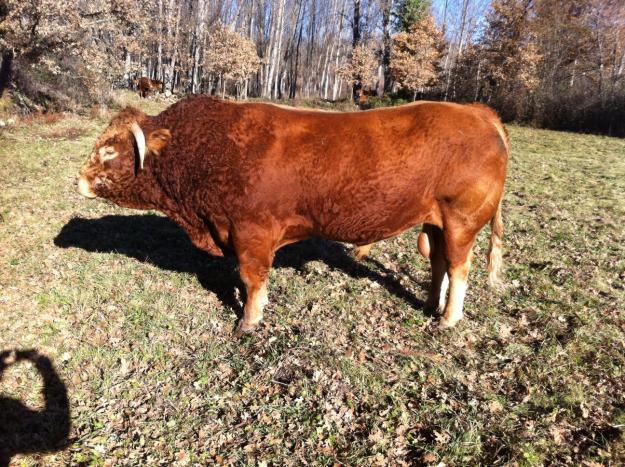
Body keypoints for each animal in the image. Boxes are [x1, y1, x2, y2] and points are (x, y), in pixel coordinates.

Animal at [77, 96, 508, 336]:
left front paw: (248, 322)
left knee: (459, 268)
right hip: (436, 221)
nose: (78, 179)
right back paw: (432, 304)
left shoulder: (251, 233)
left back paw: (448, 319)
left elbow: (252, 279)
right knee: (439, 264)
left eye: (110, 151)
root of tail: (478, 113)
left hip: (461, 220)